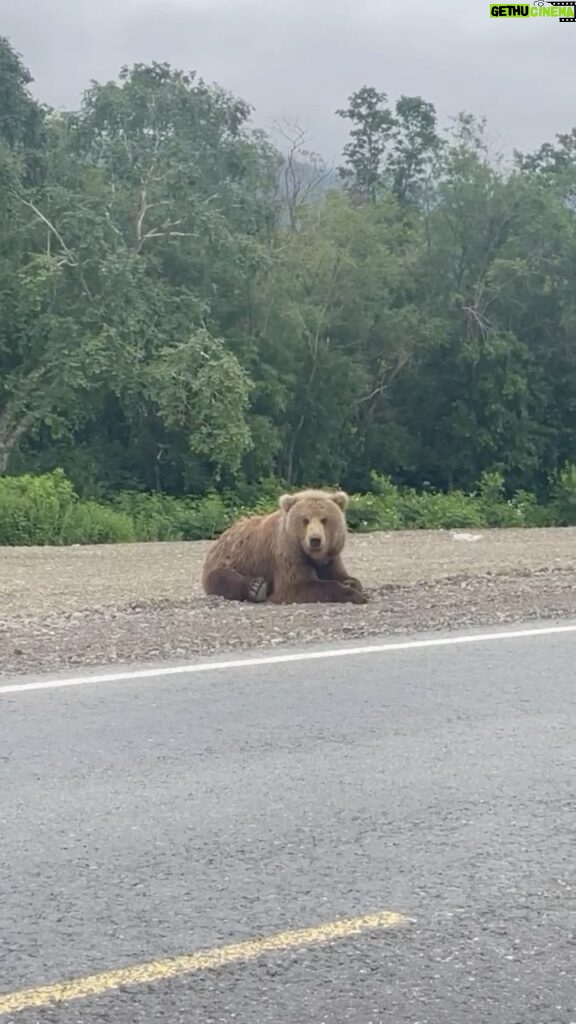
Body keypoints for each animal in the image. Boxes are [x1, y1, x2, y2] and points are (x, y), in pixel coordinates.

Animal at [199, 485, 364, 598]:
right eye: (305, 520)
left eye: (324, 519)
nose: (315, 540)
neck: (314, 557)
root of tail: (223, 535)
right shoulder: (288, 555)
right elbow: (297, 586)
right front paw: (355, 595)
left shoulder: (331, 557)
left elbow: (342, 575)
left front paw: (350, 583)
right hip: (230, 559)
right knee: (221, 577)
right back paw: (256, 587)